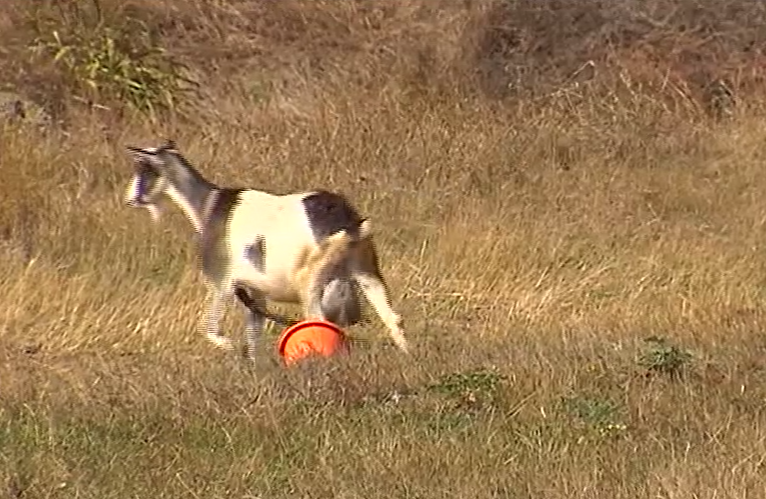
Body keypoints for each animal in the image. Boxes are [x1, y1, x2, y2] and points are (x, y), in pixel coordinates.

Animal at [123, 139, 412, 362]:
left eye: (143, 169)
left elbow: (210, 329)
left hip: (311, 279)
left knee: (320, 323)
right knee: (393, 317)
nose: (130, 199)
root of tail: (347, 223)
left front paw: (229, 347)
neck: (208, 206)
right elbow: (254, 335)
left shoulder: (220, 283)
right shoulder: (255, 291)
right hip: (365, 268)